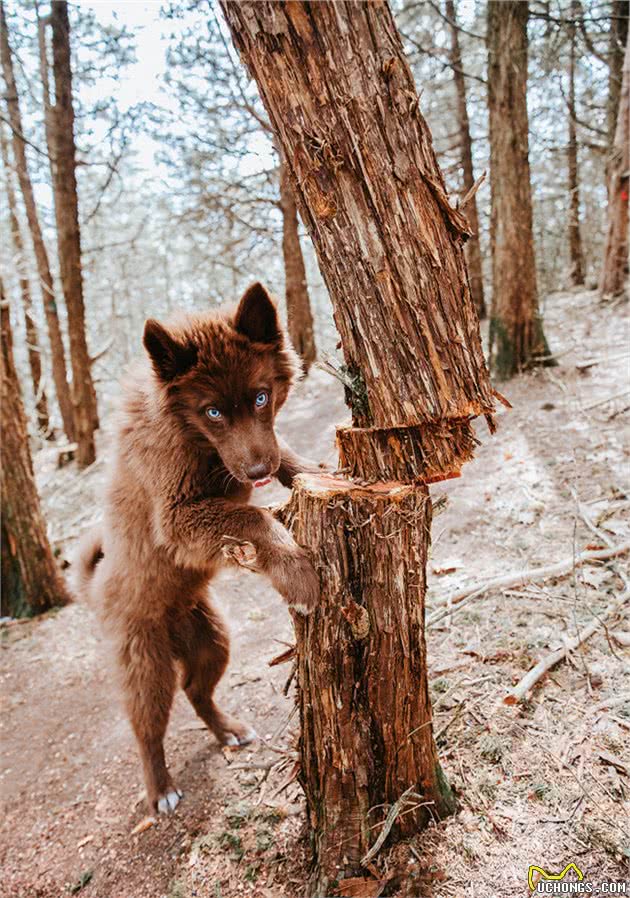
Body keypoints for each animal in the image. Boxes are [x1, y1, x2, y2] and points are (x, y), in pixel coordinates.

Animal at [74, 282, 320, 812]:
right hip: (146, 667)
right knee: (147, 729)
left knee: (196, 691)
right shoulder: (178, 517)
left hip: (213, 641)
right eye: (212, 411)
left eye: (261, 397)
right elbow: (251, 516)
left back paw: (228, 731)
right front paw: (297, 573)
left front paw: (320, 471)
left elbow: (288, 456)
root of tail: (96, 591)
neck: (192, 438)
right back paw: (161, 790)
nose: (257, 473)